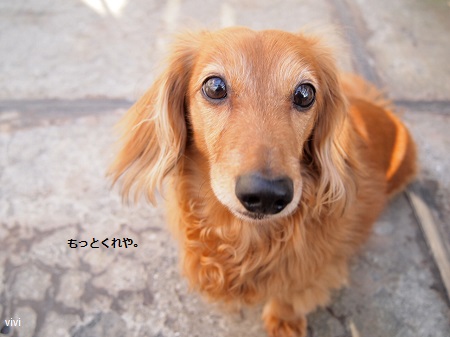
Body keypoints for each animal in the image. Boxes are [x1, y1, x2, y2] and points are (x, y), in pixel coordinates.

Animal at [107, 26, 416, 336]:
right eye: (215, 87)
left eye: (305, 94)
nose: (267, 195)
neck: (245, 237)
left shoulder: (319, 270)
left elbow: (291, 294)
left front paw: (285, 319)